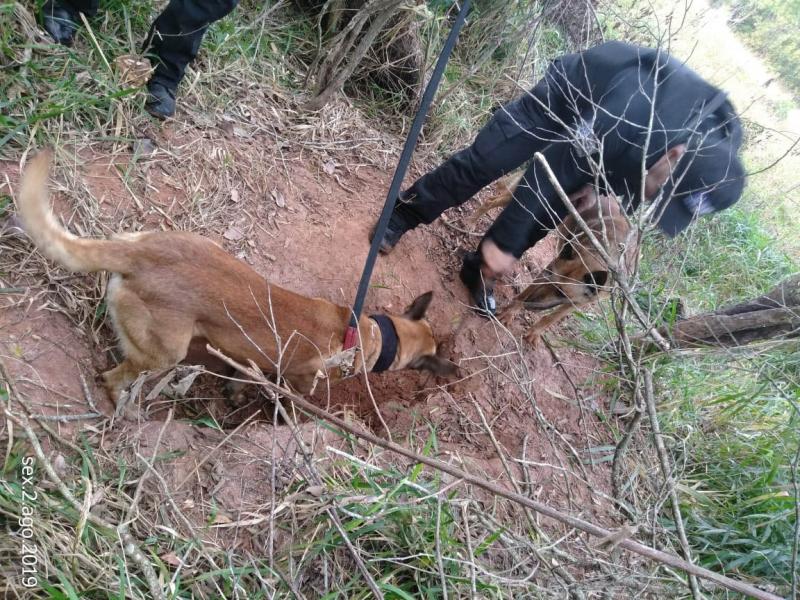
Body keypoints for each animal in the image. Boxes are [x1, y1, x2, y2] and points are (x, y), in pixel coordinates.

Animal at [17, 150, 456, 404]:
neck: (364, 334)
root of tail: (141, 253)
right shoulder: (299, 381)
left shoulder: (260, 362)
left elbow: (249, 375)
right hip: (164, 353)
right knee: (114, 378)